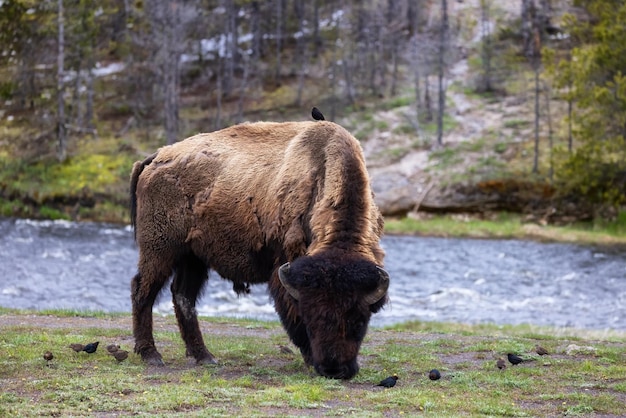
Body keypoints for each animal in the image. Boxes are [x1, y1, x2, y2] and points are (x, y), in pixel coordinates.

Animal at [129, 118, 388, 378]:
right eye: (310, 315)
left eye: (359, 319)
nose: (334, 370)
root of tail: (156, 157)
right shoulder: (285, 270)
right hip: (159, 250)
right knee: (143, 290)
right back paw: (151, 355)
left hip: (192, 257)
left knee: (183, 296)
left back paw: (205, 356)